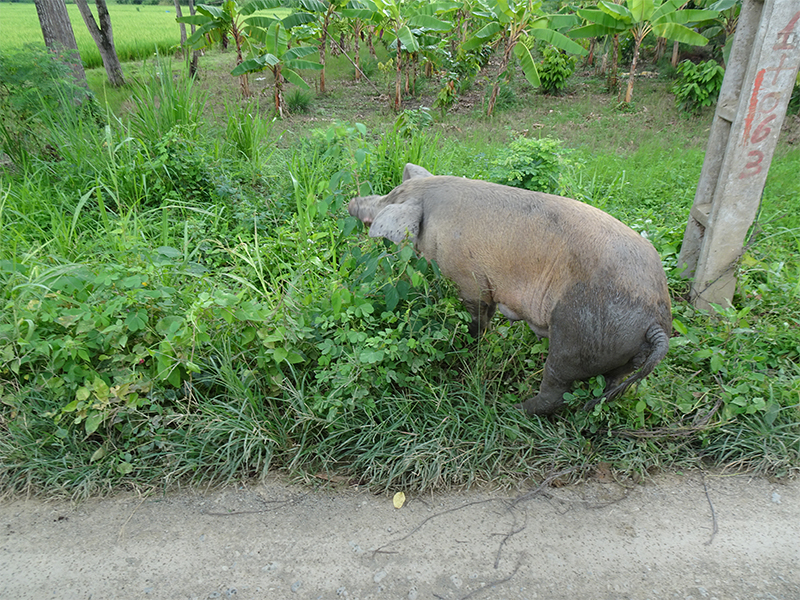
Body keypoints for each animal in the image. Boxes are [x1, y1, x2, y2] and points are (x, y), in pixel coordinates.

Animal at [346, 164, 672, 418]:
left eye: (389, 200)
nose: (352, 201)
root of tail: (657, 324)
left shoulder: (469, 279)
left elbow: (477, 318)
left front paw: (471, 350)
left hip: (577, 332)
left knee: (555, 388)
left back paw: (509, 409)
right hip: (622, 355)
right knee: (611, 384)